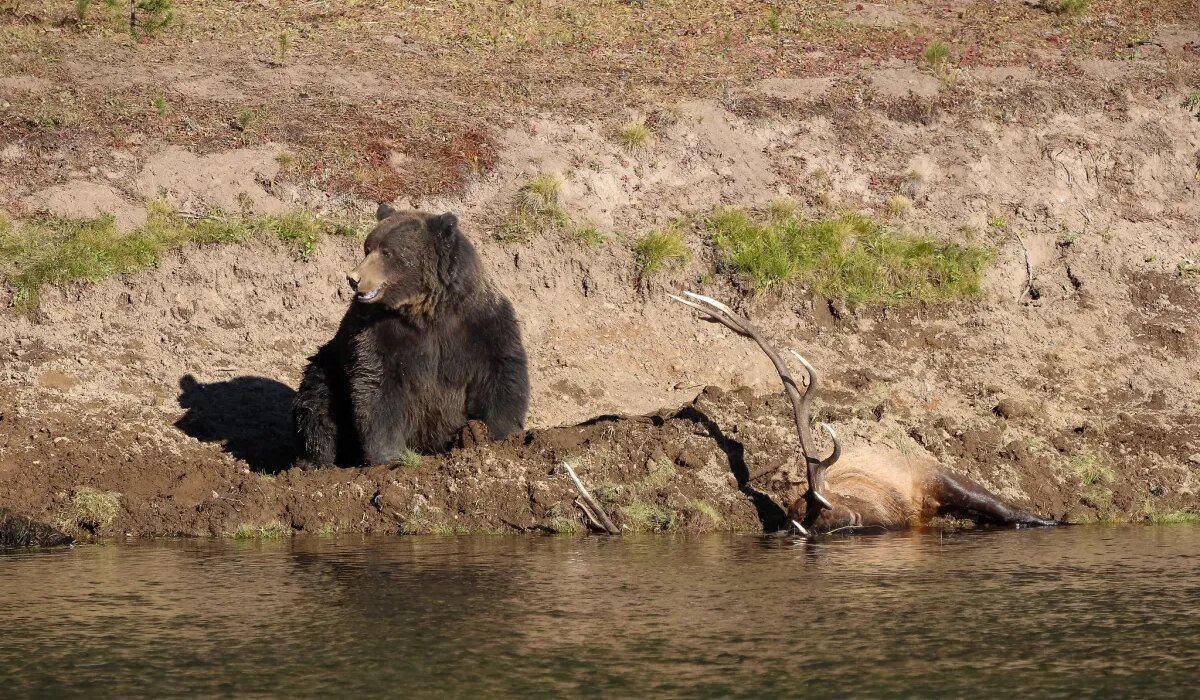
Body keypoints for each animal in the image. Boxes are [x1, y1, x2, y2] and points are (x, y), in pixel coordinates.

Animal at [291, 205, 530, 467]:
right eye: (367, 247)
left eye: (387, 251)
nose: (354, 278)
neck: (427, 311)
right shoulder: (378, 331)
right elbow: (377, 383)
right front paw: (388, 455)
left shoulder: (481, 324)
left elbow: (500, 373)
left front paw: (498, 435)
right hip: (331, 373)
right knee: (317, 404)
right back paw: (316, 461)